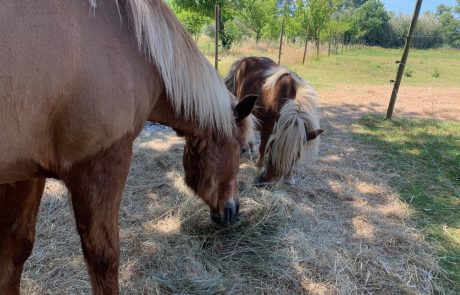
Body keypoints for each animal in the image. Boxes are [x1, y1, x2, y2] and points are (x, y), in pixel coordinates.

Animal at [0, 1, 256, 294]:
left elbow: (15, 250)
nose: (233, 210)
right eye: (242, 149)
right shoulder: (101, 167)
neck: (134, 42)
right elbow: (104, 258)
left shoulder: (26, 174)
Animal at [225, 56, 322, 185]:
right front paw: (259, 167)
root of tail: (245, 59)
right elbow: (262, 148)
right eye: (273, 148)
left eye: (296, 156)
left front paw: (289, 177)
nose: (266, 181)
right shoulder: (267, 127)